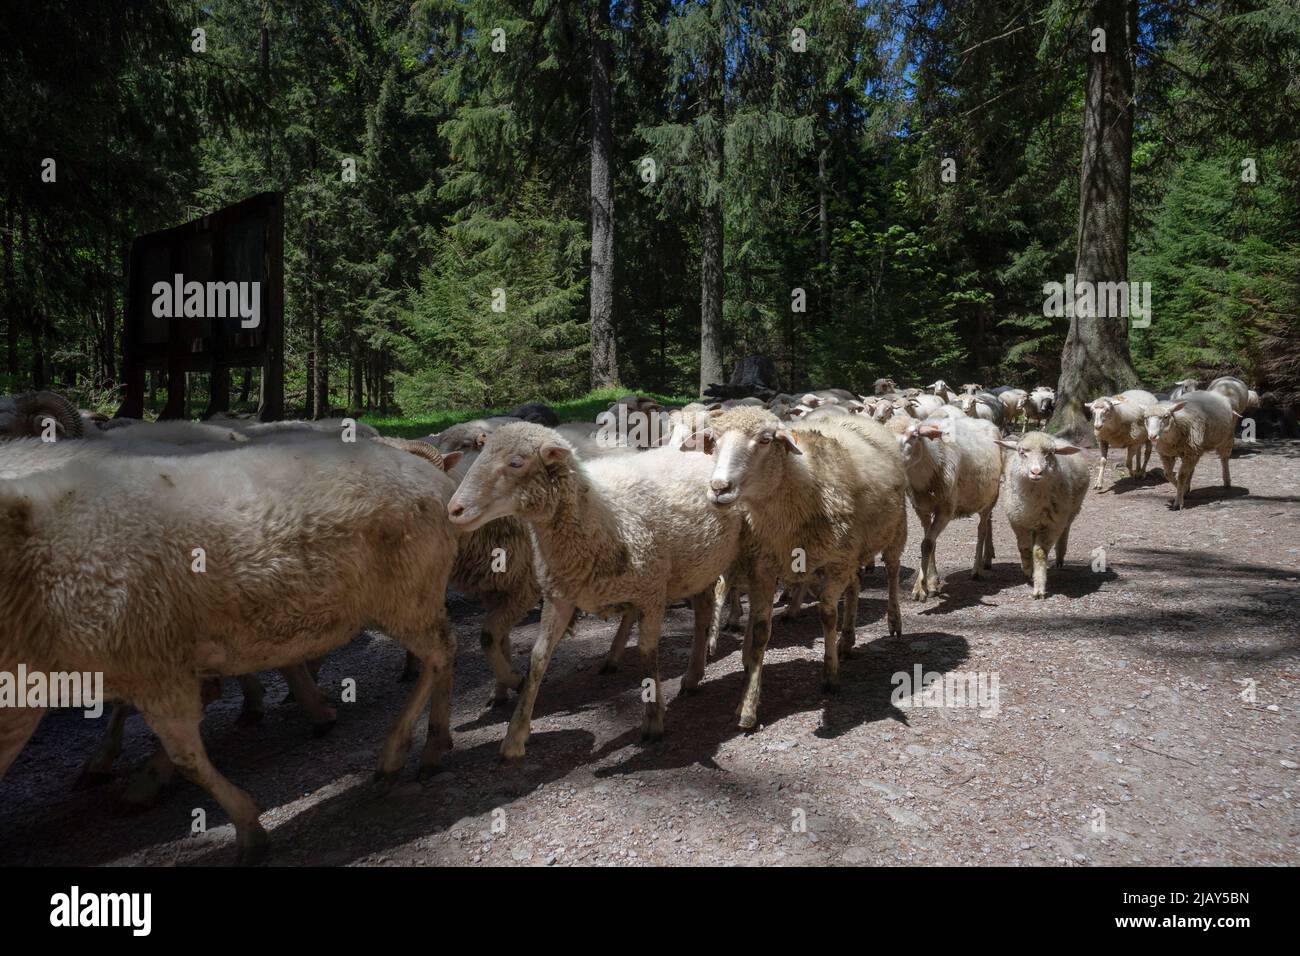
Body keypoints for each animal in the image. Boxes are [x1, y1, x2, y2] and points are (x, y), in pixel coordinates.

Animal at [993, 431, 1086, 598]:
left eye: (1050, 453)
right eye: (1022, 452)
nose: (1036, 472)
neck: (1034, 502)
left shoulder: (1051, 525)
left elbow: (1040, 553)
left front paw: (1039, 588)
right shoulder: (1018, 522)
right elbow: (1024, 548)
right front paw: (1027, 570)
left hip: (1071, 512)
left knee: (1066, 529)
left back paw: (1060, 556)